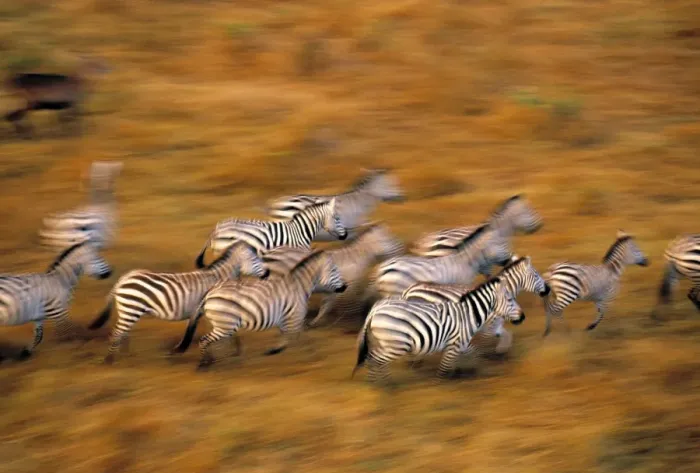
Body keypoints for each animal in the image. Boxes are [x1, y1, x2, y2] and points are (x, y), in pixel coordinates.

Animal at [87, 242, 270, 364]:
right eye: (255, 259)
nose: (267, 273)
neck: (218, 278)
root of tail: (123, 279)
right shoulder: (211, 309)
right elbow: (218, 334)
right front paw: (231, 353)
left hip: (129, 311)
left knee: (123, 333)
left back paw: (126, 356)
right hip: (131, 309)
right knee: (117, 333)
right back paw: (110, 360)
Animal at [172, 250, 347, 369]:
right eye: (334, 271)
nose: (345, 287)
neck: (298, 286)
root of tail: (209, 293)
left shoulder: (286, 318)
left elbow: (288, 336)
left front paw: (275, 350)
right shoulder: (294, 317)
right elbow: (303, 337)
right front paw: (313, 355)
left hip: (222, 323)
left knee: (213, 340)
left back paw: (224, 356)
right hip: (225, 324)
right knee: (204, 340)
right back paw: (205, 363)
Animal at [261, 222, 405, 327]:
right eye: (391, 240)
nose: (402, 252)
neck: (356, 258)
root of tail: (271, 253)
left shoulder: (333, 289)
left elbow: (327, 306)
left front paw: (316, 322)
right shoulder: (347, 286)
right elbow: (351, 304)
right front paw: (350, 321)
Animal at [351, 276, 525, 386]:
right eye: (510, 299)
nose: (523, 317)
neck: (468, 313)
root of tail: (375, 310)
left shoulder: (461, 343)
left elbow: (473, 354)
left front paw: (472, 371)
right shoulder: (454, 344)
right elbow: (445, 367)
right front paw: (440, 386)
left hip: (384, 342)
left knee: (372, 358)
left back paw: (377, 382)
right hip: (395, 344)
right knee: (376, 359)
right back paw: (385, 385)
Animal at [401, 255, 550, 361]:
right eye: (536, 274)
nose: (548, 289)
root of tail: (409, 290)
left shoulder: (495, 325)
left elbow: (507, 335)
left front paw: (501, 353)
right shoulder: (489, 326)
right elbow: (484, 344)